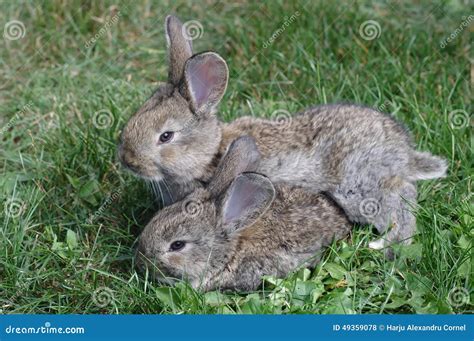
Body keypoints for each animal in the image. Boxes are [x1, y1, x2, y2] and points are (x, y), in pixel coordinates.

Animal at [119, 15, 448, 252]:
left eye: (165, 136)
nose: (126, 160)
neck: (210, 154)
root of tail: (403, 152)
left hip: (358, 187)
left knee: (401, 200)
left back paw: (388, 244)